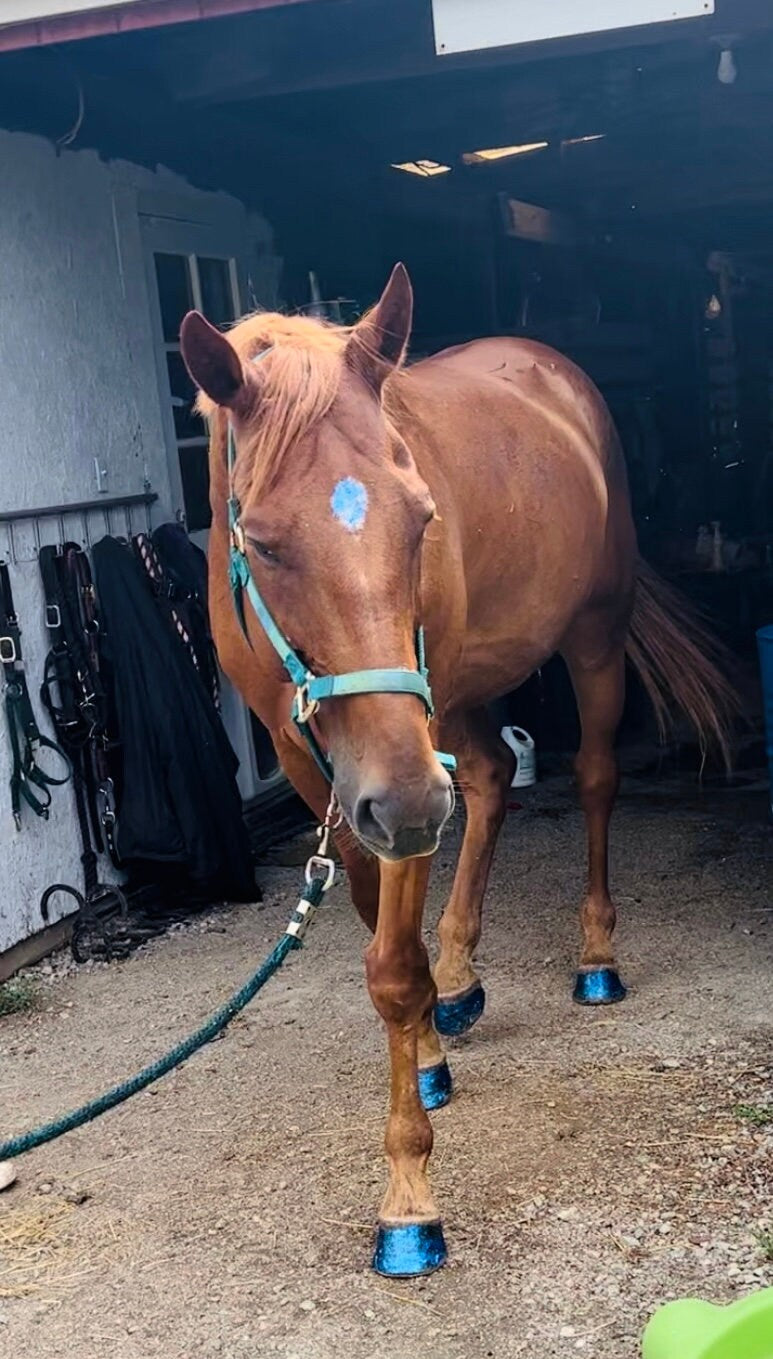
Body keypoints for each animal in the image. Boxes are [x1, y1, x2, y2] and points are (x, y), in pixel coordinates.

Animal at [179, 262, 728, 1272]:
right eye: (263, 540)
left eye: (420, 518)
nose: (404, 807)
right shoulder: (324, 765)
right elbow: (376, 930)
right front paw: (430, 1047)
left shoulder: (398, 760)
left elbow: (392, 967)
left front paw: (407, 1201)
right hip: (457, 704)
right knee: (486, 781)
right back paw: (463, 973)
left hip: (588, 645)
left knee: (591, 780)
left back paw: (595, 956)